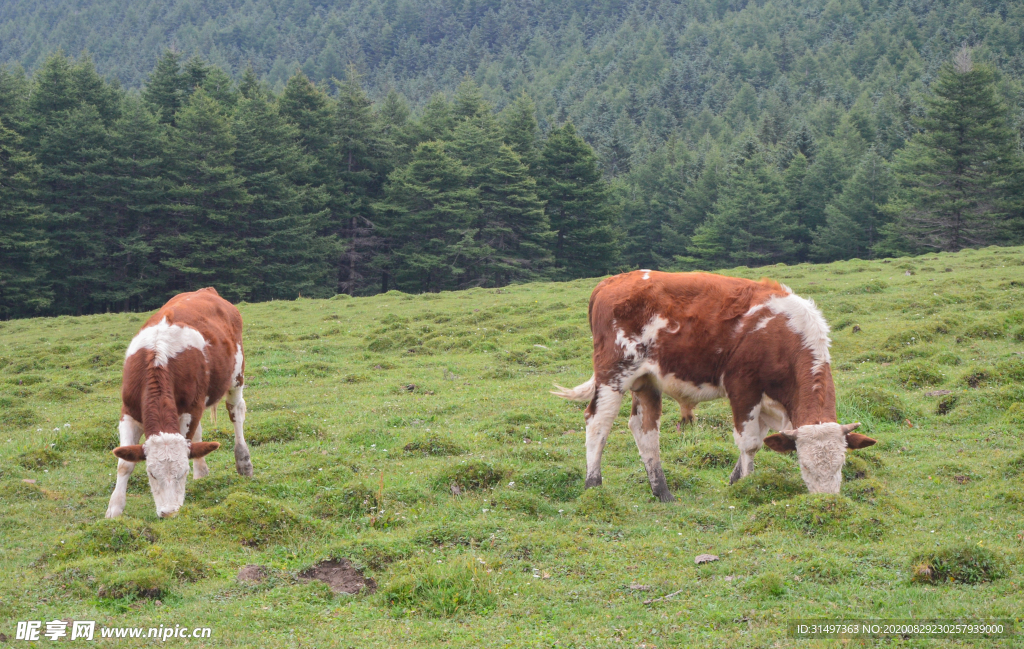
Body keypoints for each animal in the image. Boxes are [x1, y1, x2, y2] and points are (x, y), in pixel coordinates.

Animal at [104, 286, 252, 515]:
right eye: (151, 473)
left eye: (183, 473)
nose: (169, 512)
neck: (157, 360)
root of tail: (207, 290)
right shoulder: (128, 411)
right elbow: (124, 464)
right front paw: (114, 509)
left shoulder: (190, 409)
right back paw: (201, 472)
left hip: (236, 376)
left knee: (236, 412)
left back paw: (243, 462)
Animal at [557, 268, 876, 499]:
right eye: (804, 465)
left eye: (842, 464)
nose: (827, 502)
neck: (783, 334)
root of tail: (611, 281)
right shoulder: (743, 388)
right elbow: (749, 443)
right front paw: (747, 487)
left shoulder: (771, 404)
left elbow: (760, 439)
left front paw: (735, 480)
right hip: (613, 373)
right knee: (598, 423)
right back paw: (593, 486)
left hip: (647, 382)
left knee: (645, 430)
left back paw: (662, 492)